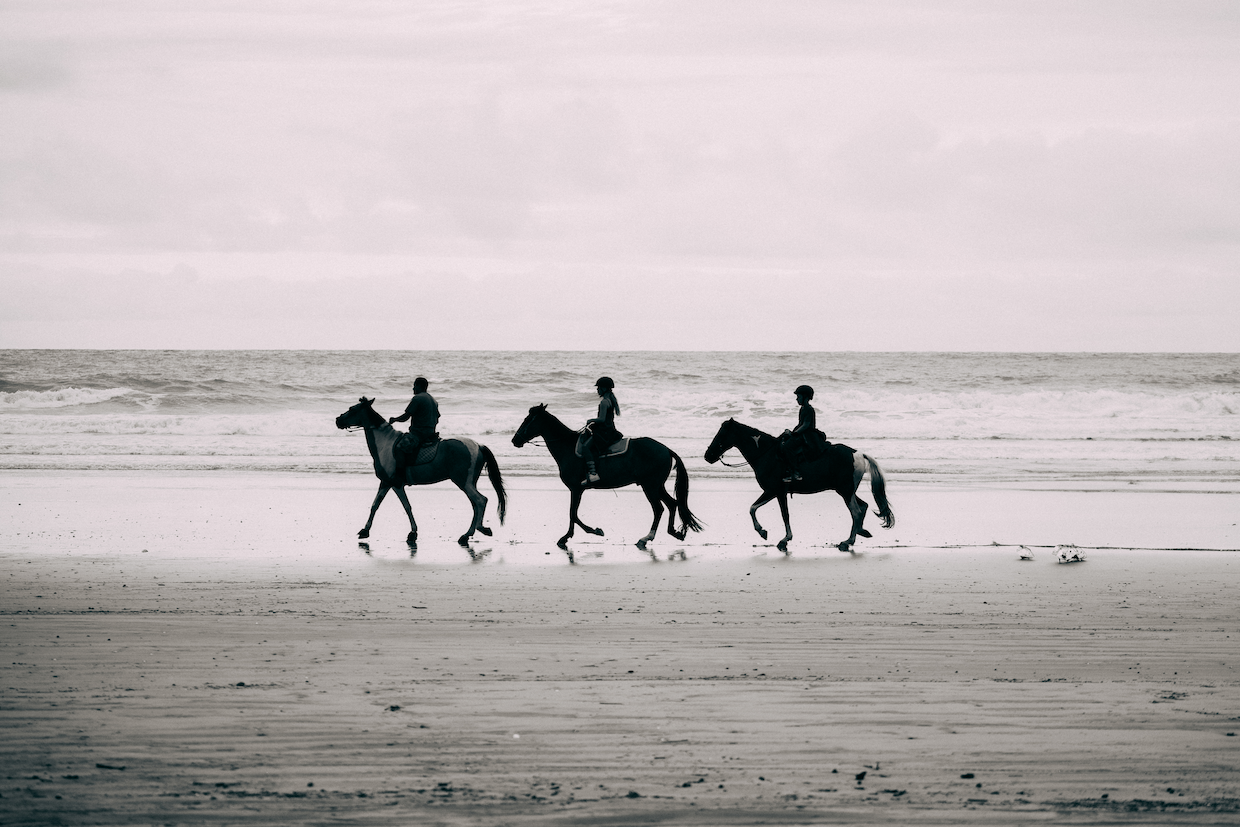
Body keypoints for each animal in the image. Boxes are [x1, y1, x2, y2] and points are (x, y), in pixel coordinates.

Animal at [335, 397, 506, 549]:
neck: (384, 444)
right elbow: (375, 505)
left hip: (463, 482)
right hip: (469, 483)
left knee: (480, 501)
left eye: (352, 409)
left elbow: (406, 506)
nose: (338, 420)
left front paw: (412, 532)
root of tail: (478, 445)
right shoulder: (385, 482)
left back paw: (476, 531)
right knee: (475, 504)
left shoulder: (394, 483)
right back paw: (470, 533)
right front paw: (365, 530)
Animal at [511, 404, 702, 557]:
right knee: (672, 504)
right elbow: (573, 513)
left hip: (650, 485)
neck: (567, 447)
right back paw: (673, 533)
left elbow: (573, 513)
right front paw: (575, 535)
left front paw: (587, 532)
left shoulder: (576, 488)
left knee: (659, 508)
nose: (515, 440)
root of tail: (666, 449)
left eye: (527, 420)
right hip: (655, 485)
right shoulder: (577, 489)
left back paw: (646, 537)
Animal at [703, 418, 894, 553]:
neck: (767, 454)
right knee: (864, 506)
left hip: (845, 491)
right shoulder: (775, 492)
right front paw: (771, 534)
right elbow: (756, 509)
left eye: (721, 435)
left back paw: (847, 542)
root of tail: (858, 454)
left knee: (856, 511)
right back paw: (860, 532)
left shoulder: (775, 491)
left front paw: (776, 537)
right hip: (846, 490)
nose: (708, 455)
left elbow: (775, 513)